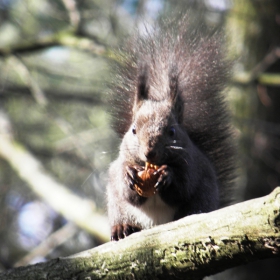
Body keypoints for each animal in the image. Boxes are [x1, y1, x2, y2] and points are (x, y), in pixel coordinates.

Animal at [106, 16, 235, 242]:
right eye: (133, 130)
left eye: (172, 132)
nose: (149, 152)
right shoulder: (121, 165)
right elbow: (128, 191)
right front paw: (129, 174)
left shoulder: (192, 167)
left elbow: (182, 187)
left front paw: (167, 175)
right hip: (115, 203)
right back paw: (121, 227)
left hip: (204, 194)